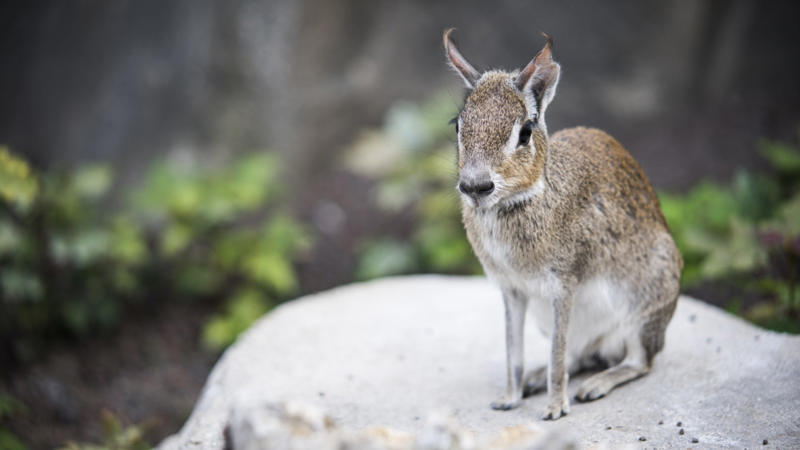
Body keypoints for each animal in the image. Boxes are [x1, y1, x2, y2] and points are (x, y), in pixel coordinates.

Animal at [443, 29, 682, 420]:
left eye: (525, 131)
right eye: (458, 125)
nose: (476, 186)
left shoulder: (563, 286)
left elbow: (556, 353)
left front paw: (555, 409)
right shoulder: (512, 291)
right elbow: (513, 351)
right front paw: (508, 399)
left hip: (643, 305)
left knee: (637, 361)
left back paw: (592, 387)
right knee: (580, 354)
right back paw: (536, 381)